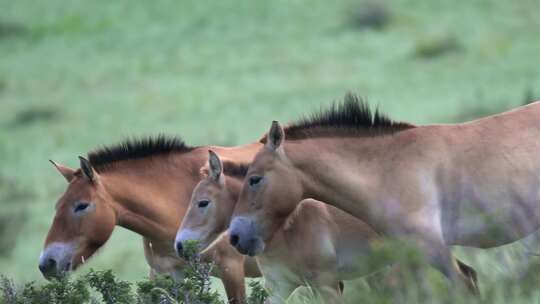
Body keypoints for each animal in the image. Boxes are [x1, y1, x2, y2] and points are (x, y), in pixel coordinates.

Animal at [228, 94, 540, 294]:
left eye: (254, 179)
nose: (236, 236)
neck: (385, 171)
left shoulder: (432, 247)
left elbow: (465, 284)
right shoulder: (411, 256)